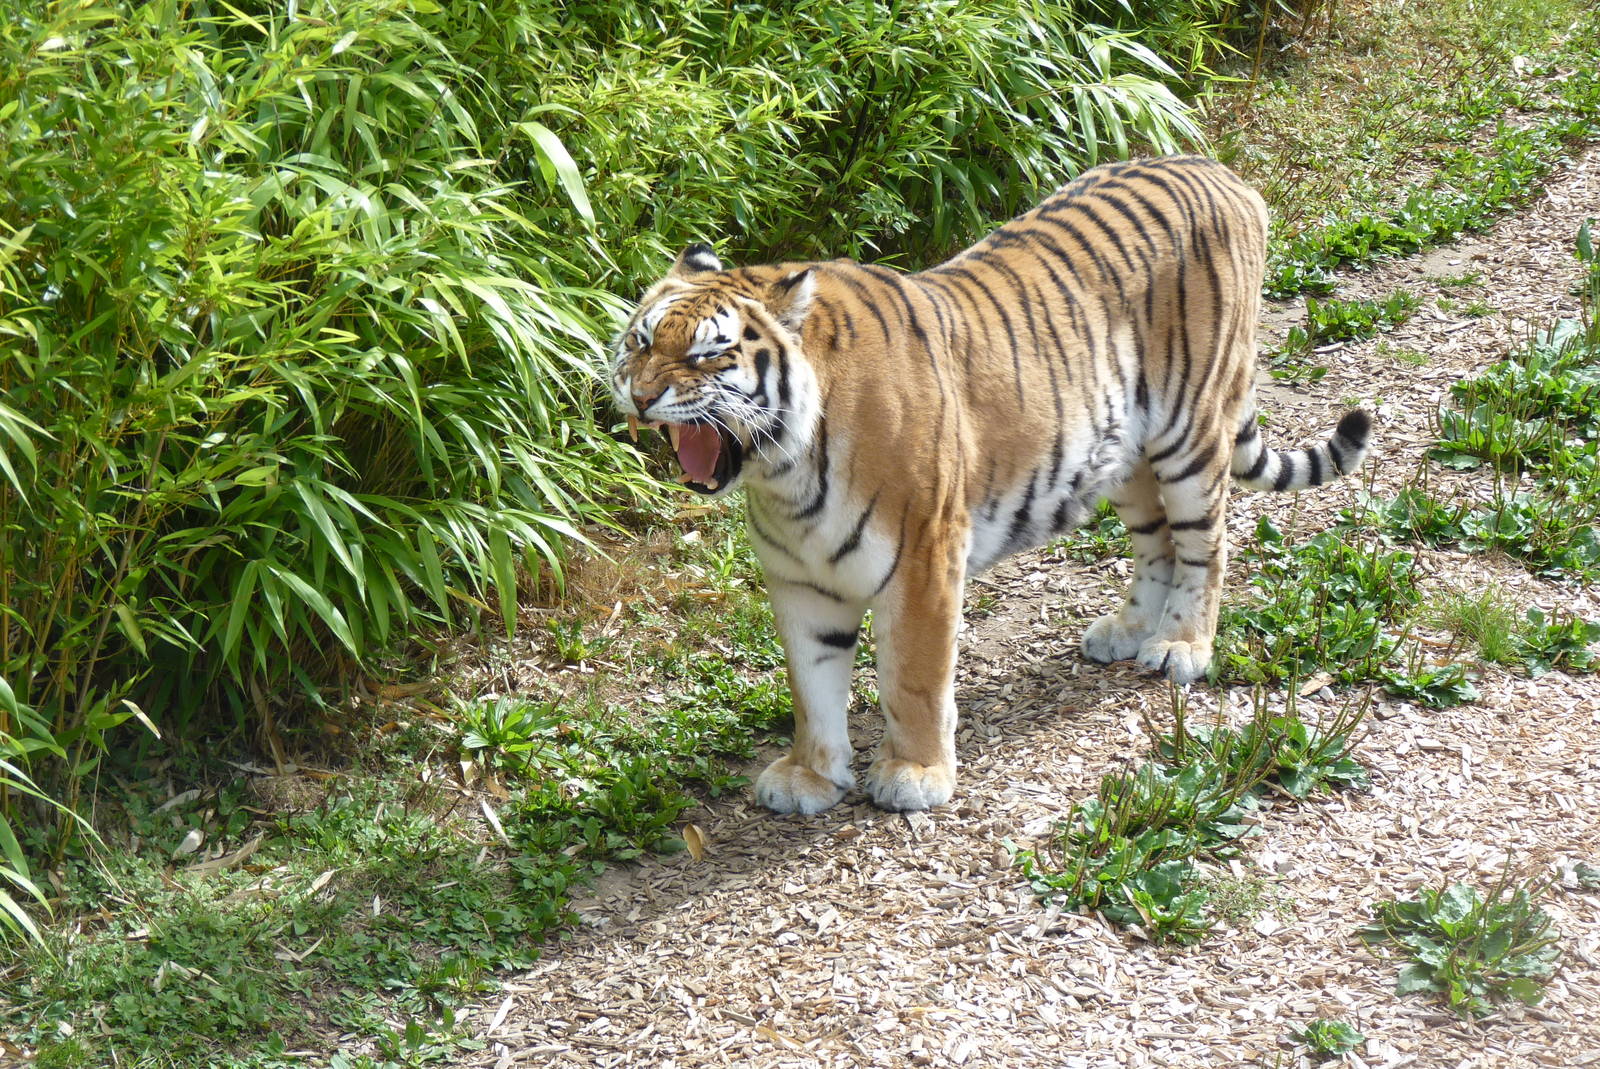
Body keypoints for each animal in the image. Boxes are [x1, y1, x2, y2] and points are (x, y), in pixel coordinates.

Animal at [609, 156, 1371, 816]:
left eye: (707, 355)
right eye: (641, 340)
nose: (639, 397)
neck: (783, 471)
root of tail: (1222, 173)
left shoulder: (922, 560)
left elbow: (912, 679)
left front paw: (915, 774)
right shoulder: (802, 582)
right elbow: (811, 687)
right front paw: (810, 776)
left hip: (1191, 431)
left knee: (1205, 544)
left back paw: (1182, 647)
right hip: (1122, 450)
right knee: (1156, 541)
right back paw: (1127, 631)